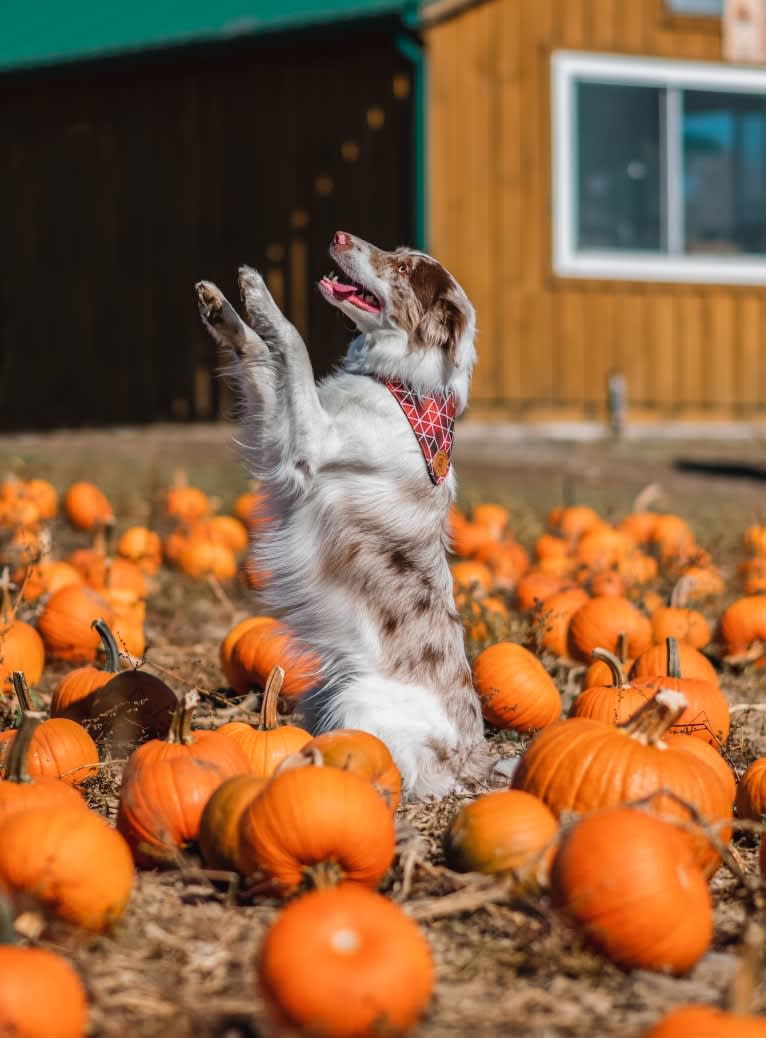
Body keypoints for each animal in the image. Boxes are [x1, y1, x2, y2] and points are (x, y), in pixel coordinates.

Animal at [197, 229, 506, 793]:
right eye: (397, 254)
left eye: (404, 269)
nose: (339, 235)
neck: (403, 386)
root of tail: (473, 761)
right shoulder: (283, 432)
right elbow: (261, 357)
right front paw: (222, 308)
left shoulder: (310, 444)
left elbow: (292, 344)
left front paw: (259, 293)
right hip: (320, 692)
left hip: (354, 698)